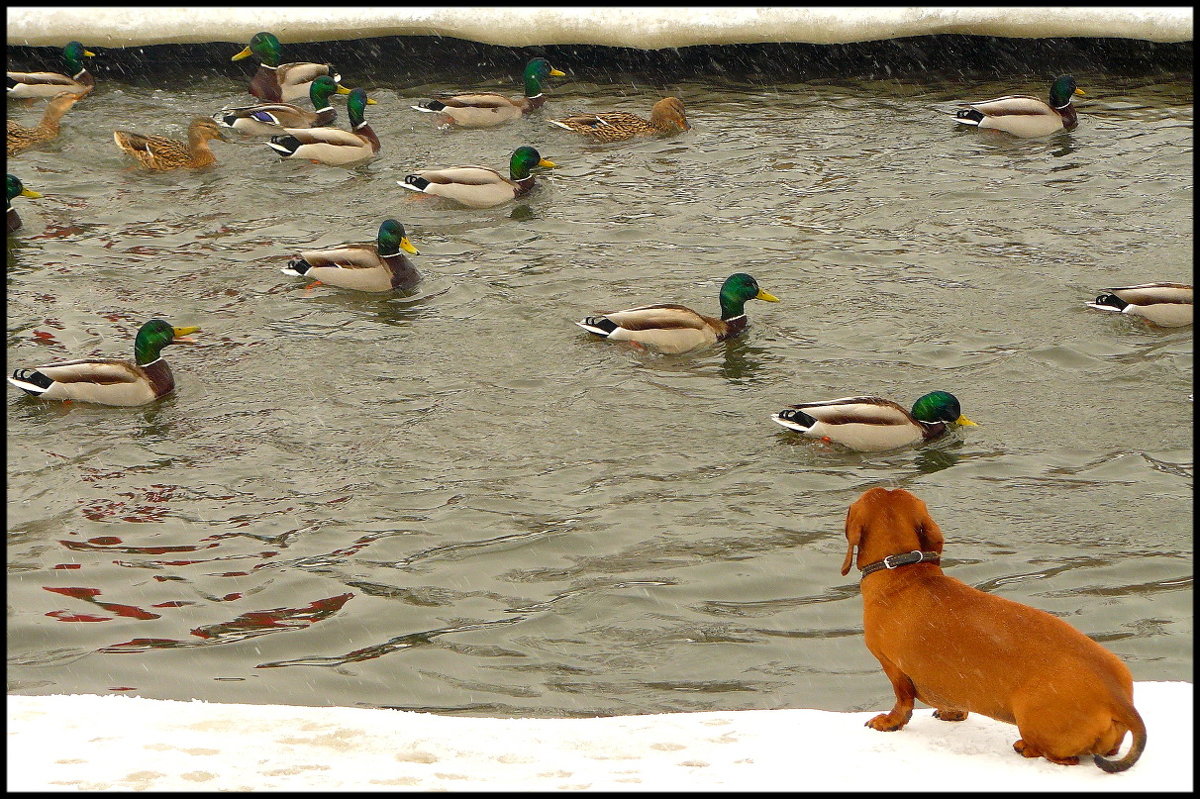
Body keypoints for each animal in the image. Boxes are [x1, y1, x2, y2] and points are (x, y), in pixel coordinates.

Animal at [840, 482, 1147, 767]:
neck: (902, 573)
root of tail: (1117, 699)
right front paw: (952, 712)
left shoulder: (893, 667)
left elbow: (902, 703)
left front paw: (888, 721)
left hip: (1032, 720)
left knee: (1062, 758)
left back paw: (1025, 747)